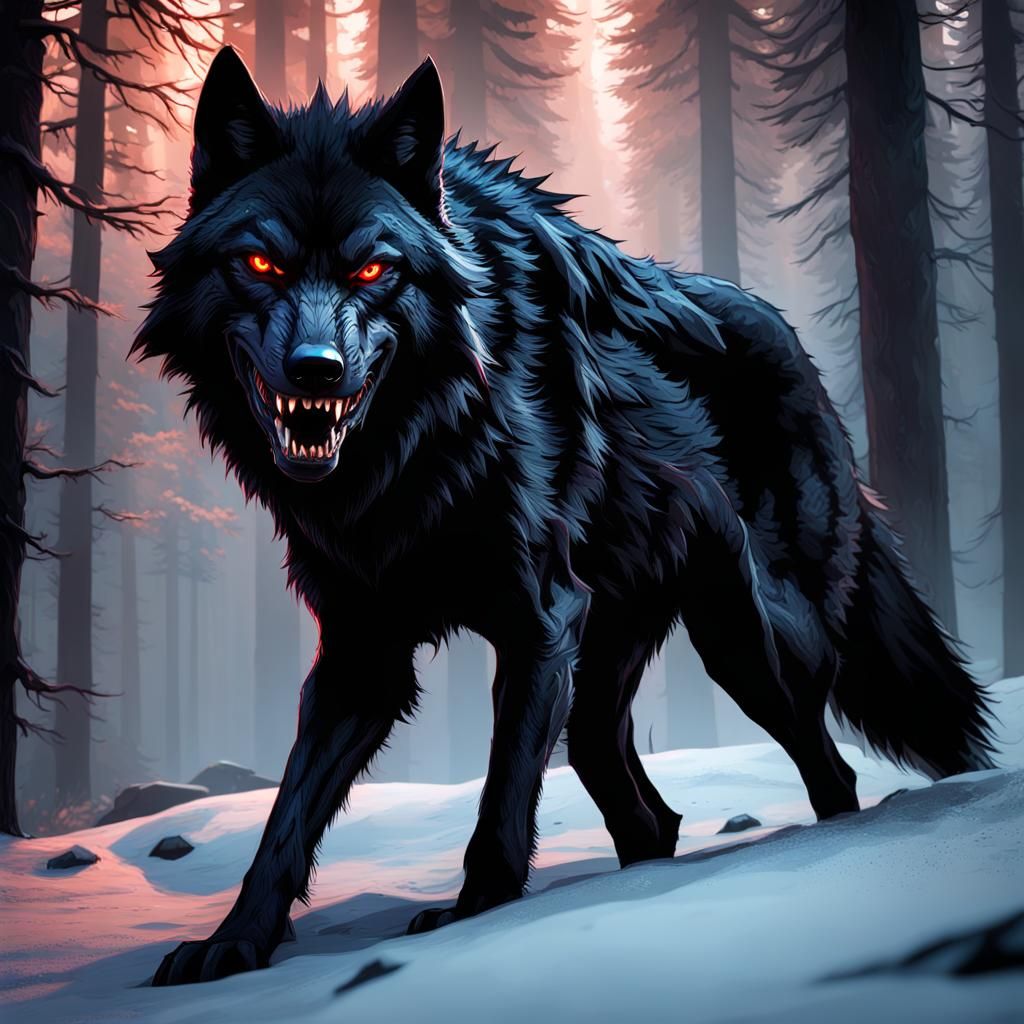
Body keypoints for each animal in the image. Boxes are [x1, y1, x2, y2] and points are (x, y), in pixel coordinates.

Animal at [136, 47, 996, 985]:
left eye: (374, 269)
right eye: (259, 265)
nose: (316, 369)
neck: (418, 450)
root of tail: (795, 344)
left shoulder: (538, 620)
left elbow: (502, 793)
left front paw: (473, 916)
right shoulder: (365, 652)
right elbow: (286, 816)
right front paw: (231, 944)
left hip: (750, 641)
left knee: (828, 767)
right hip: (619, 652)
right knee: (633, 794)